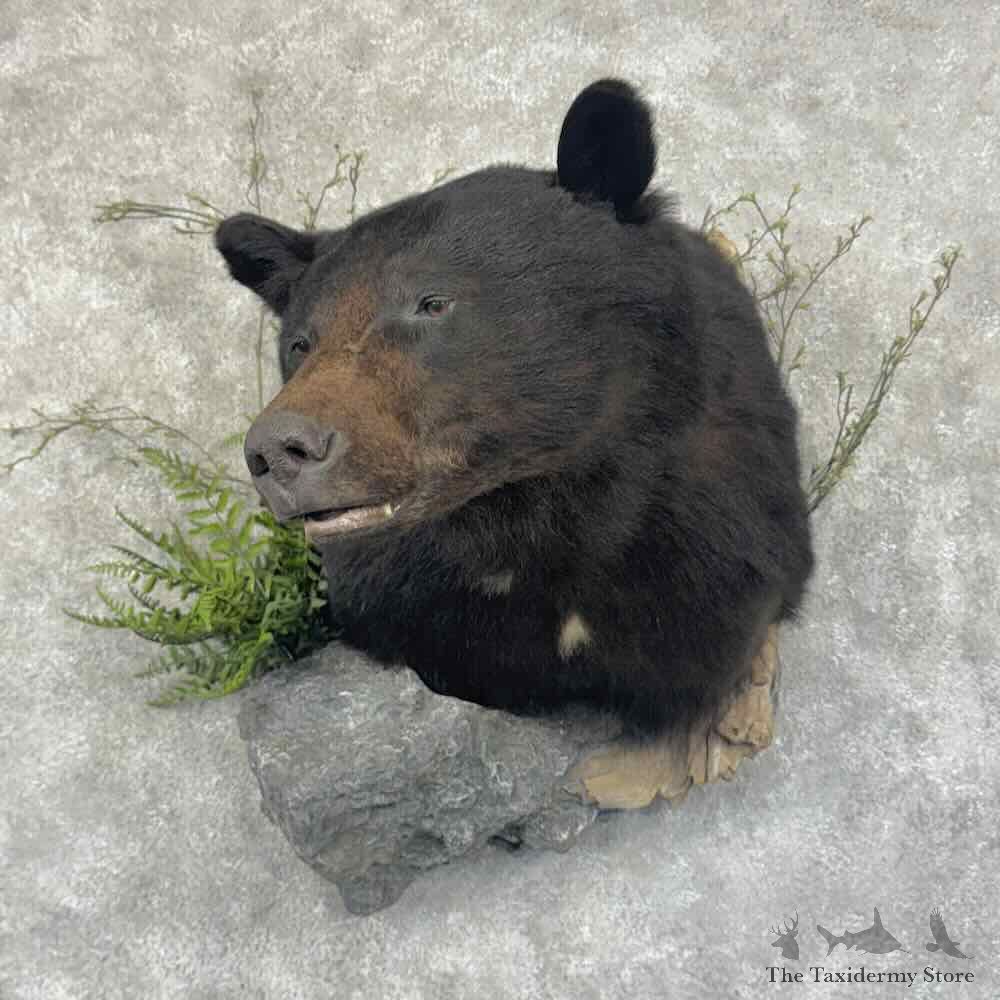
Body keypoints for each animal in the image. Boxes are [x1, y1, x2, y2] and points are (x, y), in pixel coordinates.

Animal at [215, 79, 814, 799]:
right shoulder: (409, 601)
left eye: (432, 302)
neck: (537, 514)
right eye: (300, 344)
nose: (279, 449)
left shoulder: (719, 536)